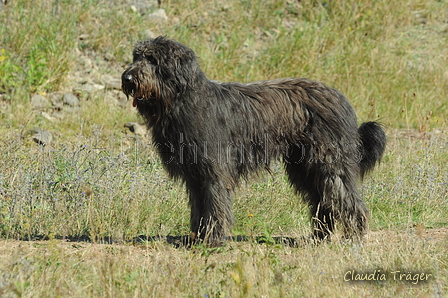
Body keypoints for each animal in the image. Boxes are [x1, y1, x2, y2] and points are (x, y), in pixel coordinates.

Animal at [121, 36, 386, 247]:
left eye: (153, 59)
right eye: (137, 56)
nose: (128, 77)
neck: (183, 100)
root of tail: (340, 98)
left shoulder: (214, 171)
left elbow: (215, 206)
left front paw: (213, 241)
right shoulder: (194, 175)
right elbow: (199, 209)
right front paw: (197, 238)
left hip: (329, 162)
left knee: (346, 198)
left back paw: (354, 236)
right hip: (305, 167)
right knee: (323, 201)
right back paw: (320, 237)